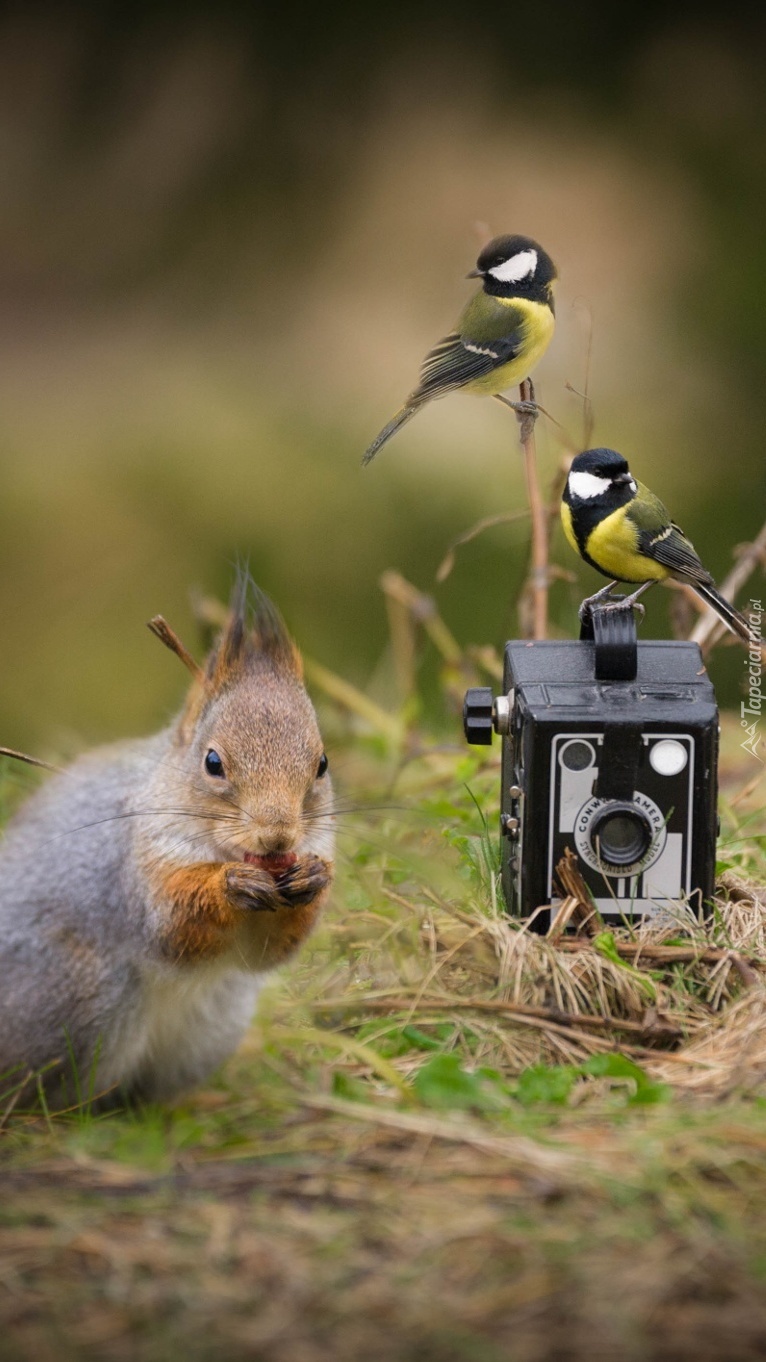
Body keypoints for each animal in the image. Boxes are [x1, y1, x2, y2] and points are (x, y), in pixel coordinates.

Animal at [0, 574, 333, 1105]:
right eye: (212, 762)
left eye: (321, 764)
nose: (278, 837)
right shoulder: (135, 866)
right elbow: (172, 926)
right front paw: (230, 886)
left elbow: (269, 952)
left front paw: (314, 877)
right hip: (75, 997)